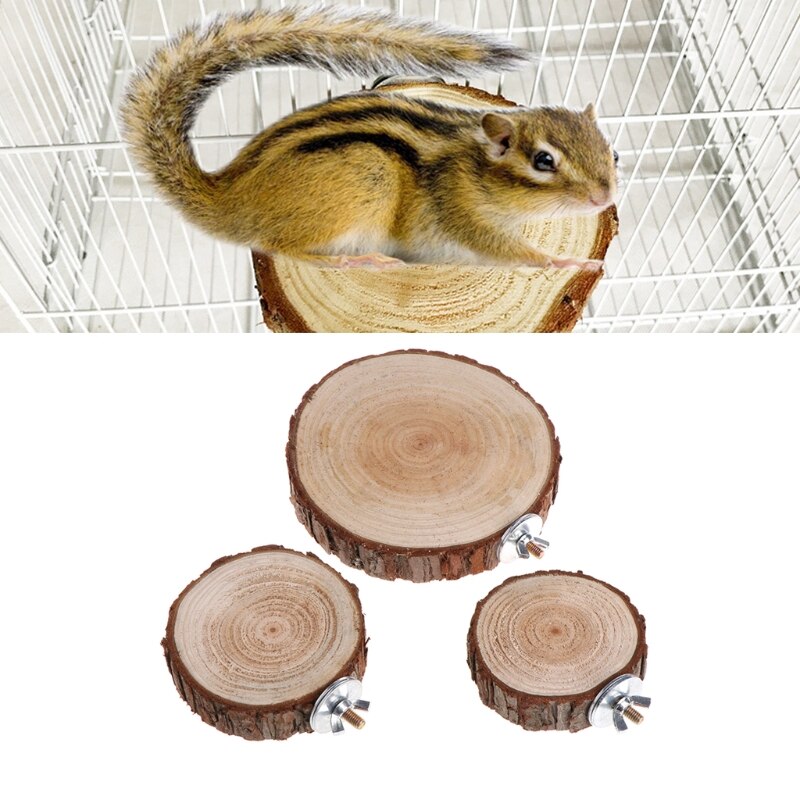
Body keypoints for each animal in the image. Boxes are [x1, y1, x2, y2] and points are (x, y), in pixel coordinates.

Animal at [121, 5, 617, 270]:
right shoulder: (462, 214)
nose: (605, 198)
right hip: (364, 177)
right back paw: (357, 260)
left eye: (611, 152)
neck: (477, 169)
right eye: (543, 161)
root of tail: (227, 194)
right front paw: (569, 263)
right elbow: (510, 251)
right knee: (282, 247)